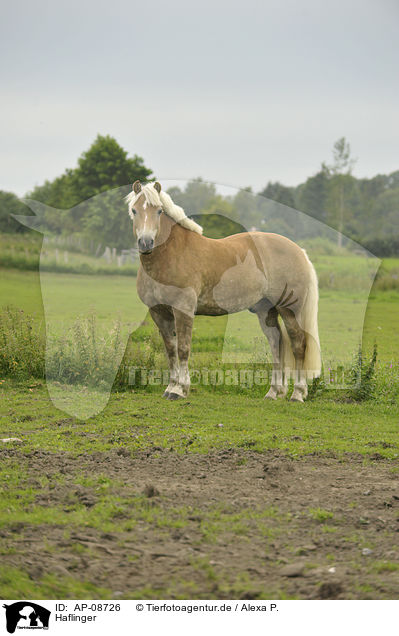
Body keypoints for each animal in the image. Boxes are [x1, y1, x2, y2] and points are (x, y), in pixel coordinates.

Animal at [126, 179, 324, 400]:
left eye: (159, 211)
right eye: (134, 210)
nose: (146, 242)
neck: (170, 254)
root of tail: (299, 251)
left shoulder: (183, 310)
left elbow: (183, 348)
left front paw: (180, 389)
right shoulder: (158, 313)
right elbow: (171, 350)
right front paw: (170, 387)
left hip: (289, 309)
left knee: (298, 344)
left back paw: (297, 393)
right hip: (266, 310)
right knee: (276, 342)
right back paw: (273, 392)